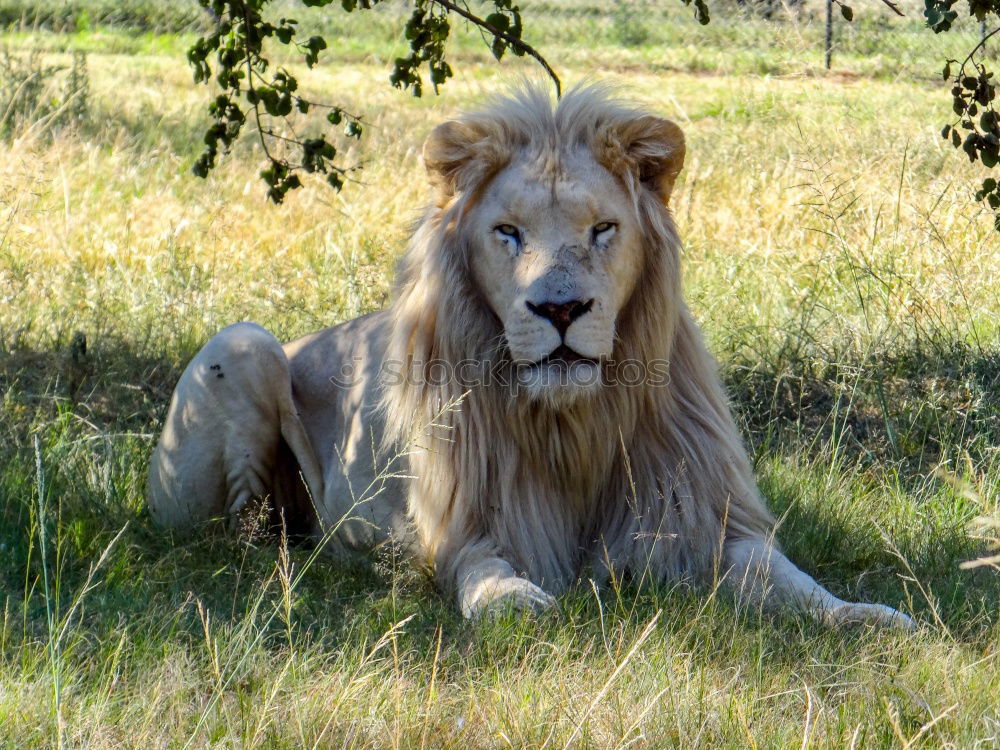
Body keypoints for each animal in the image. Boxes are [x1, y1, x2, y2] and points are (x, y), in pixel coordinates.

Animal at [146, 83, 916, 628]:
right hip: (244, 344)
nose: (560, 309)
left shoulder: (700, 515)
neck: (575, 422)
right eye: (508, 233)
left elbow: (787, 579)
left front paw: (867, 617)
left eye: (602, 229)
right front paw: (514, 604)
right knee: (241, 532)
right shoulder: (469, 524)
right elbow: (482, 576)